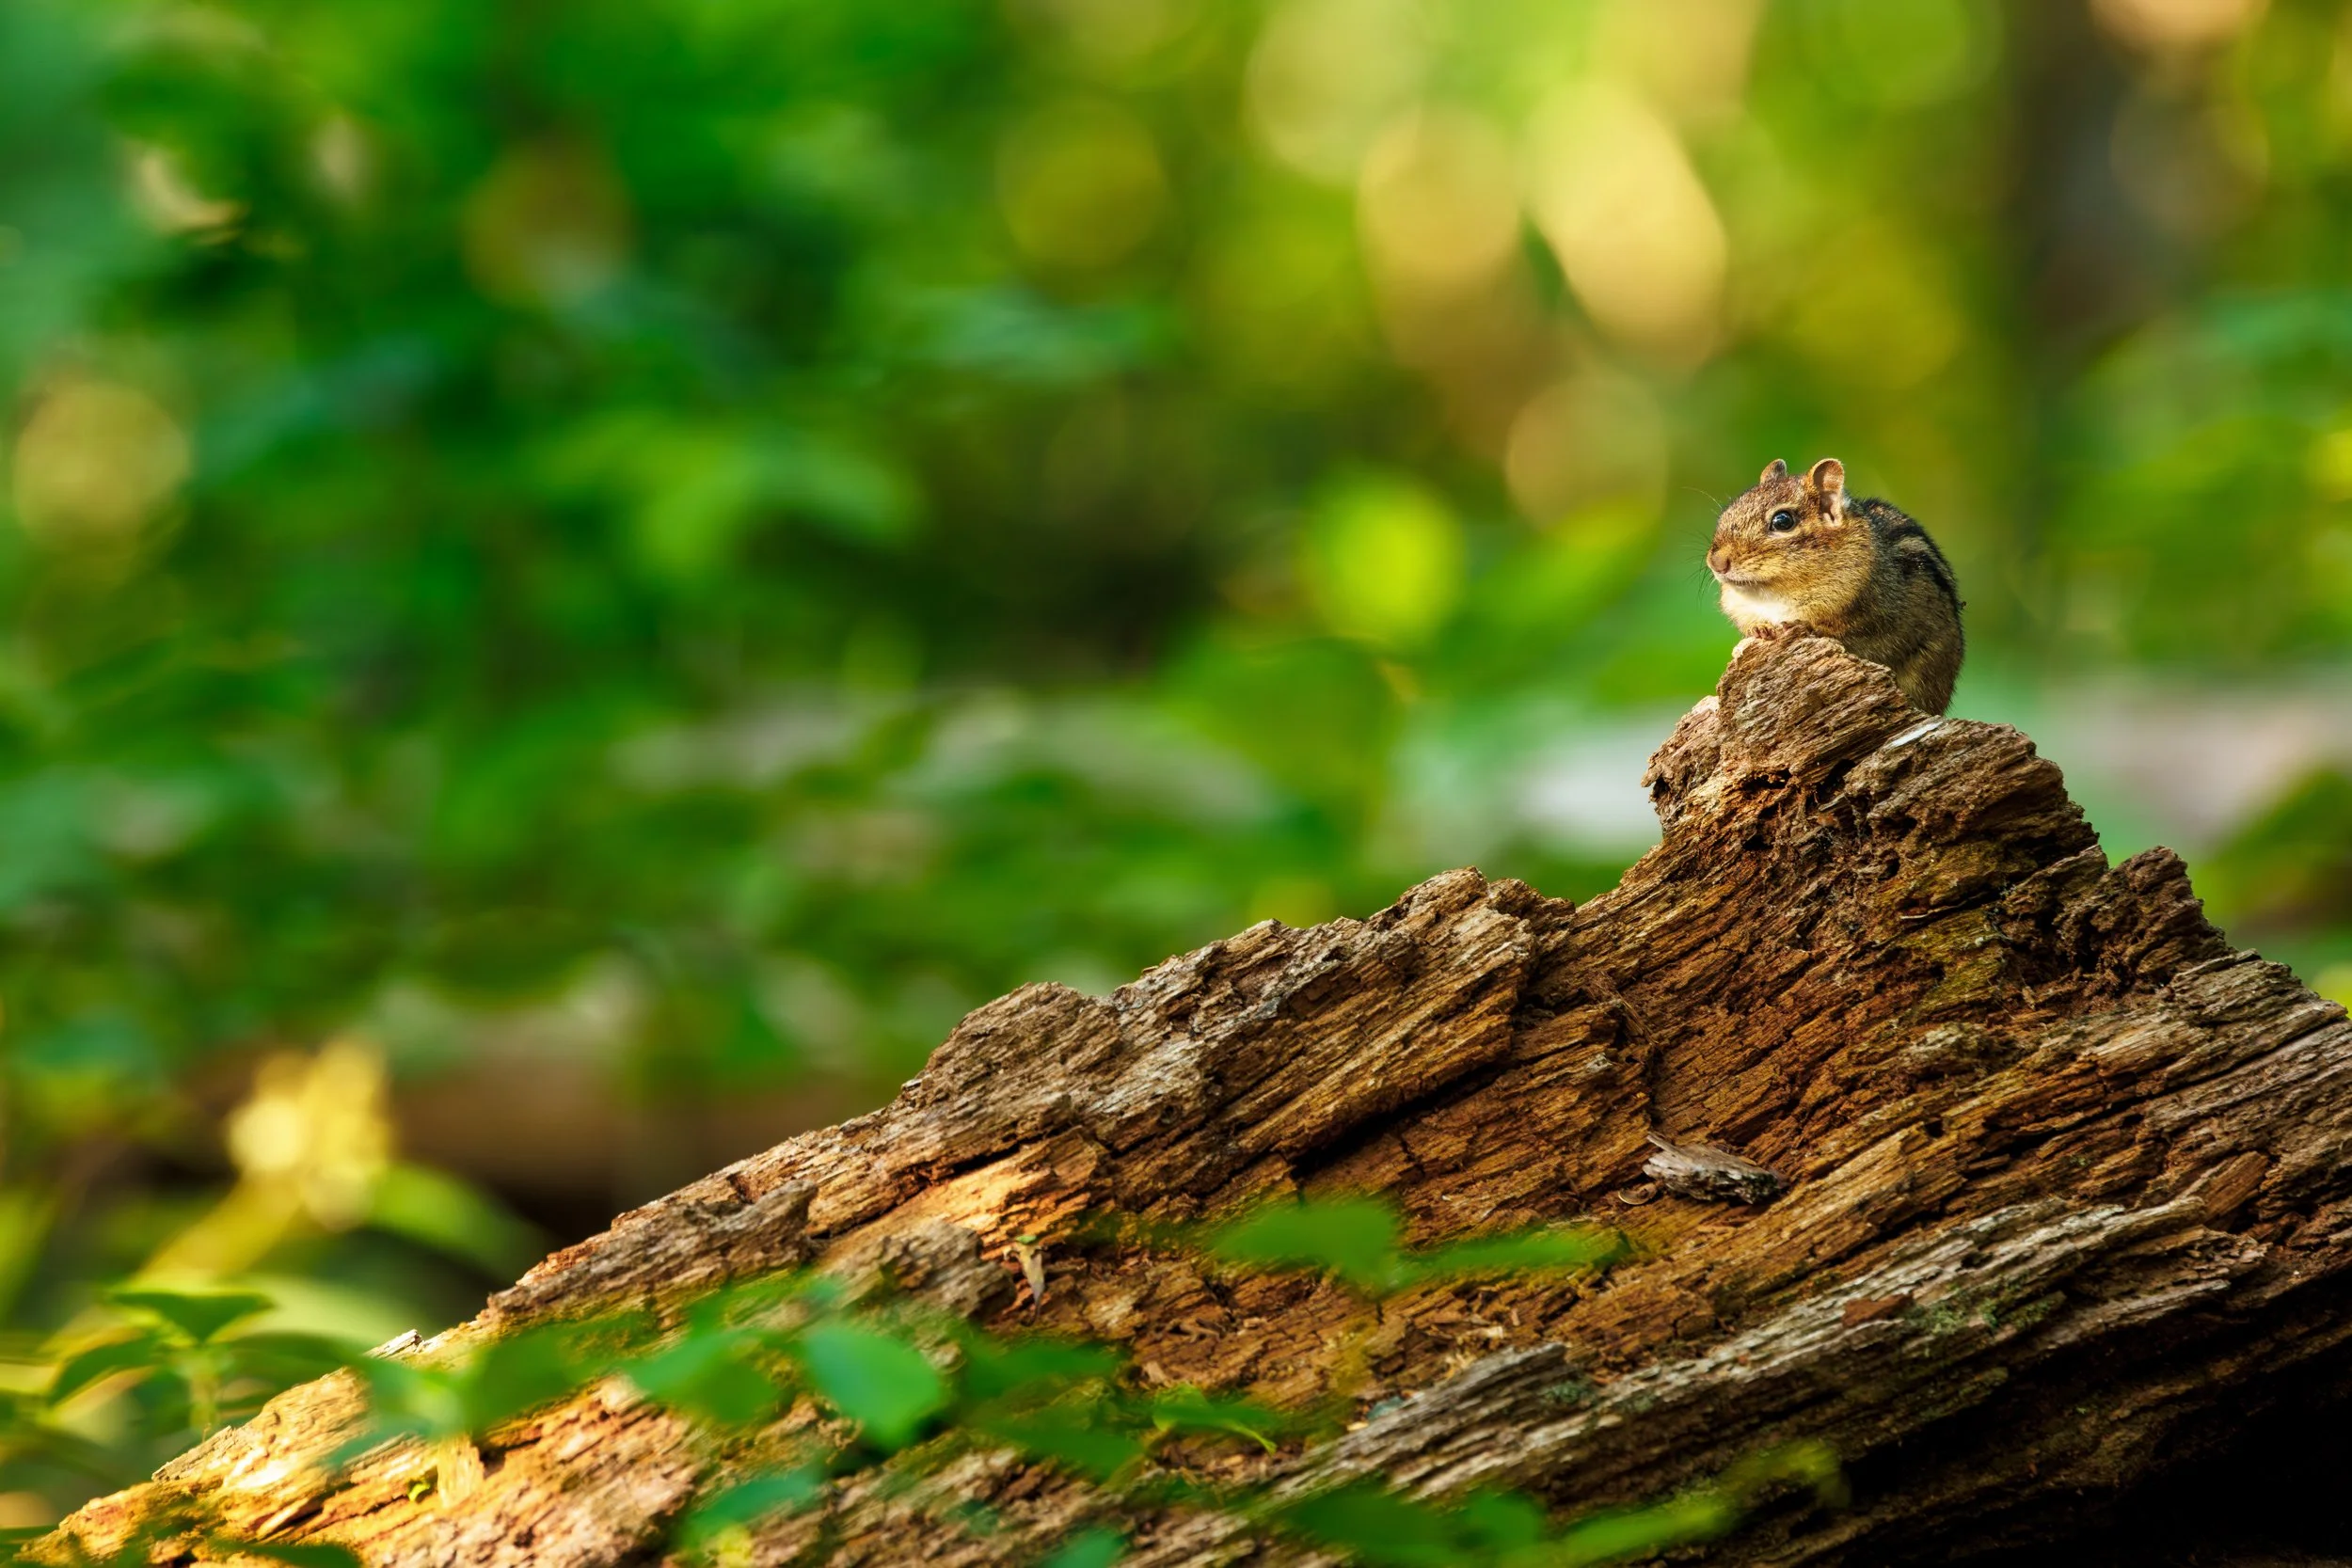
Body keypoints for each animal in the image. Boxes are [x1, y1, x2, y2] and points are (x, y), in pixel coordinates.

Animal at [1707, 457, 1965, 715]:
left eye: (1782, 521)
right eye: (1728, 512)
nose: (1716, 563)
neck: (1775, 594)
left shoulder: (1868, 608)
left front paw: (1803, 626)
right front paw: (1760, 628)